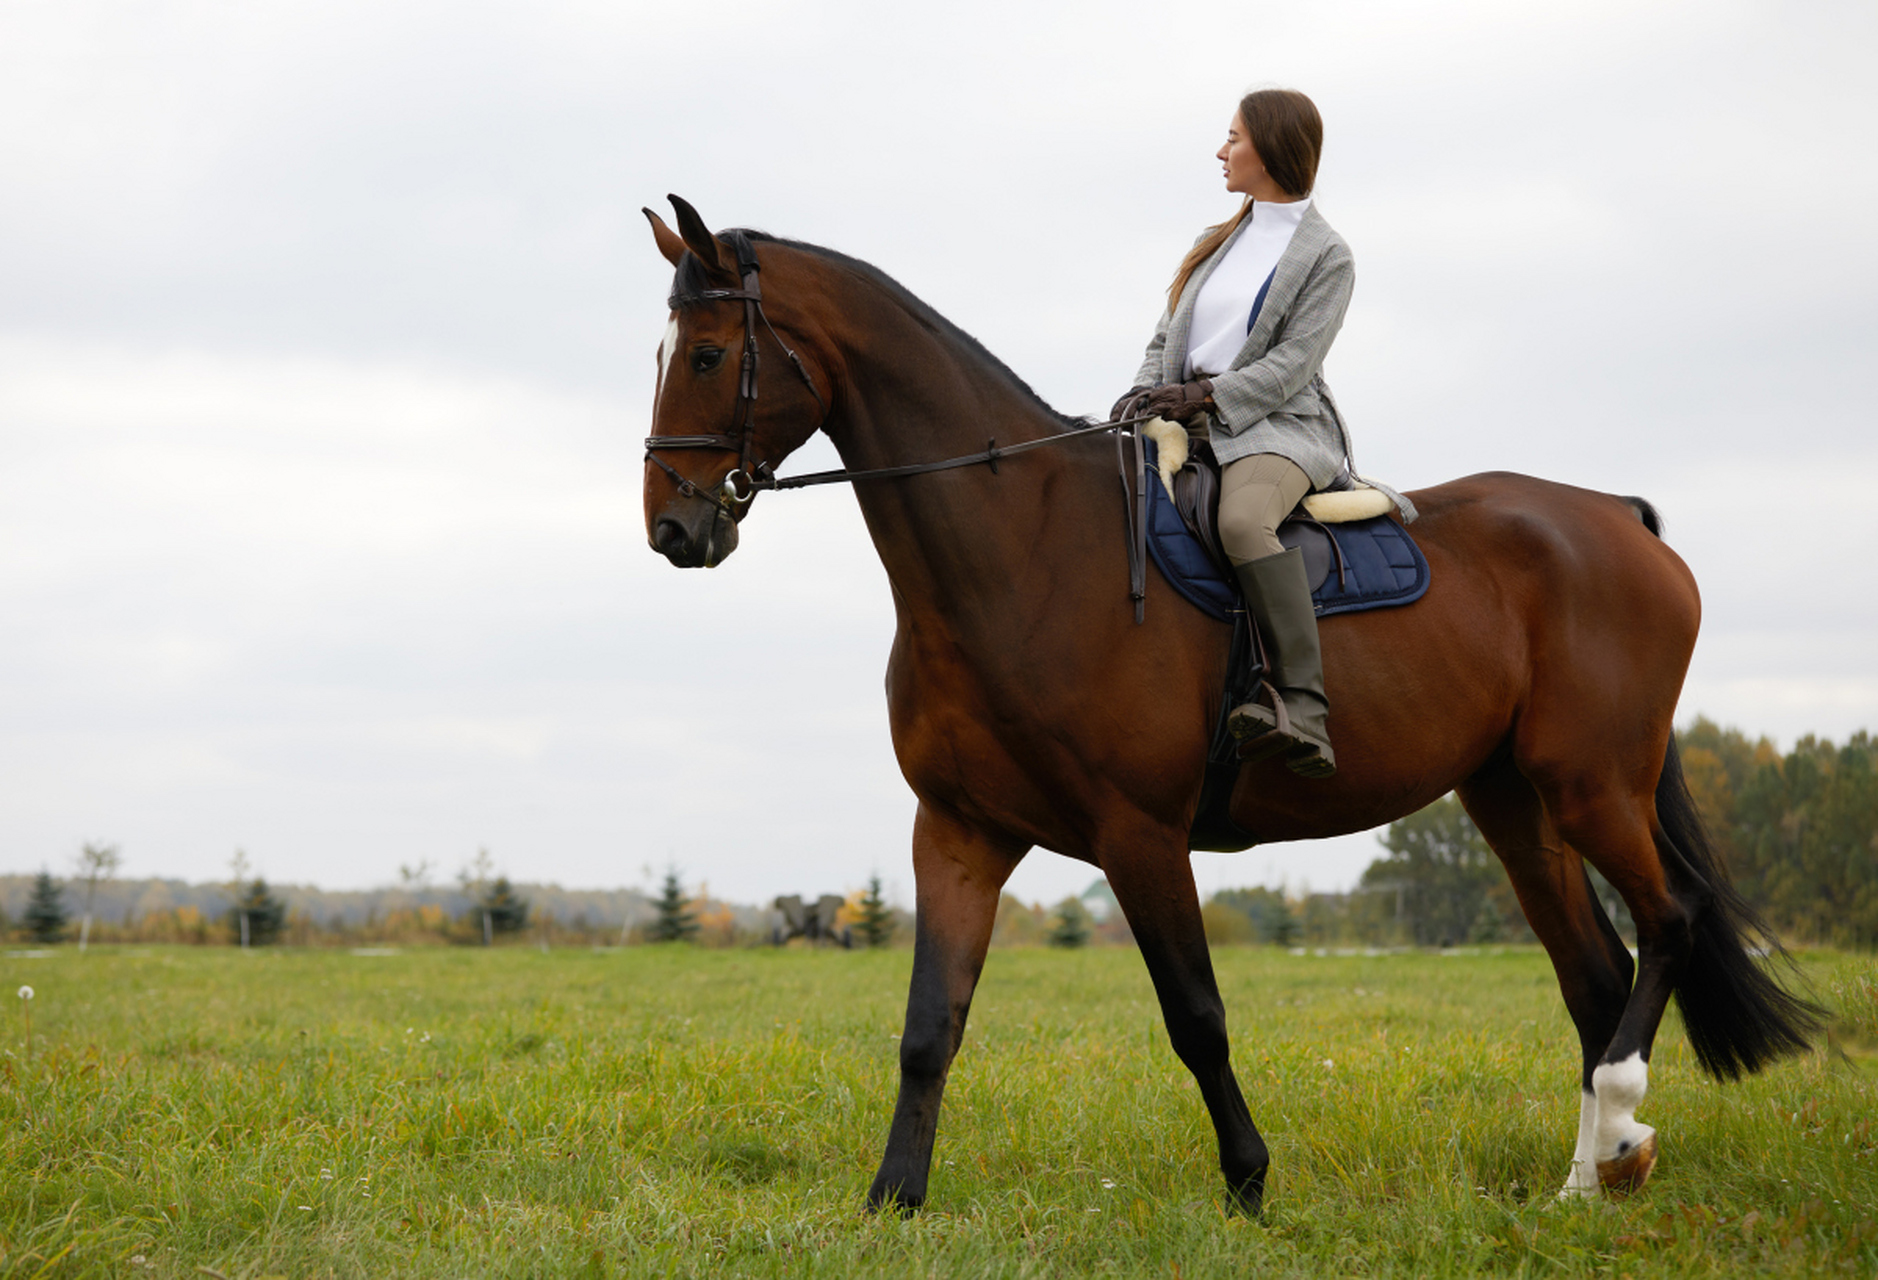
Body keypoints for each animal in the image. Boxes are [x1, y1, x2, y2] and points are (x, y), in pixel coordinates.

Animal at [638, 192, 1810, 1208]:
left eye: (706, 355)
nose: (672, 528)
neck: (1024, 548)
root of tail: (1616, 515)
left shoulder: (1139, 834)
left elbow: (1196, 1015)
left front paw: (1248, 1179)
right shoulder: (959, 832)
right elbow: (931, 1025)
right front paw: (894, 1199)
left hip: (1594, 784)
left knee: (1668, 920)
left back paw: (1619, 1126)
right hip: (1515, 800)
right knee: (1596, 978)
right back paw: (1590, 1178)